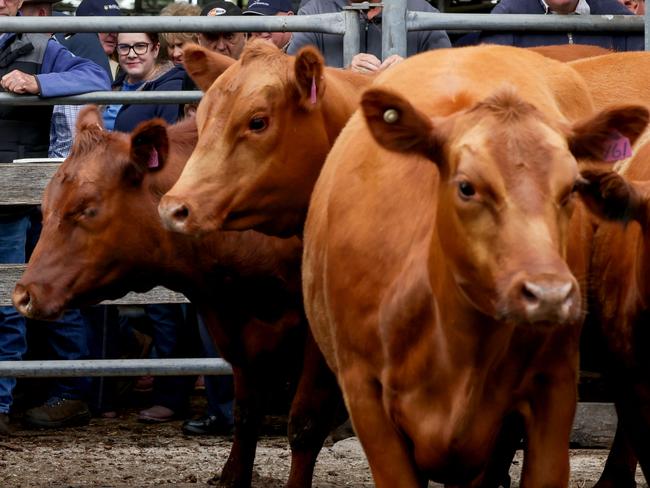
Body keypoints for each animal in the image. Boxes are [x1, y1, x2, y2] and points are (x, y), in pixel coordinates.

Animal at [11, 107, 344, 488]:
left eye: (86, 208)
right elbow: (246, 414)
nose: (23, 294)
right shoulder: (236, 326)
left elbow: (305, 424)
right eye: (45, 205)